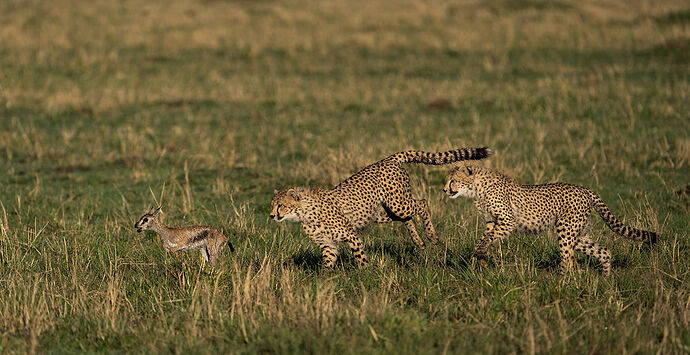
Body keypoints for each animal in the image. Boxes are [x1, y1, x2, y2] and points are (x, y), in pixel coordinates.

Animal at [268, 146, 490, 268]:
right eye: (272, 205)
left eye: (281, 205)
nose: (271, 216)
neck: (304, 212)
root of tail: (387, 159)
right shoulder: (328, 244)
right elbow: (327, 262)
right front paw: (324, 281)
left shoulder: (351, 235)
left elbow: (360, 257)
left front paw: (365, 275)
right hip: (382, 212)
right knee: (407, 218)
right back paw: (419, 241)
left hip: (398, 203)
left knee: (421, 203)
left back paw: (431, 235)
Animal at [444, 165, 660, 276]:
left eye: (453, 180)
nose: (444, 190)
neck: (476, 187)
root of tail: (585, 189)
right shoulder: (492, 221)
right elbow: (485, 237)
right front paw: (480, 256)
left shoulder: (507, 220)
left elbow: (487, 238)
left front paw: (480, 252)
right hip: (579, 234)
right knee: (603, 252)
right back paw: (606, 280)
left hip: (565, 230)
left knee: (568, 258)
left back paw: (561, 282)